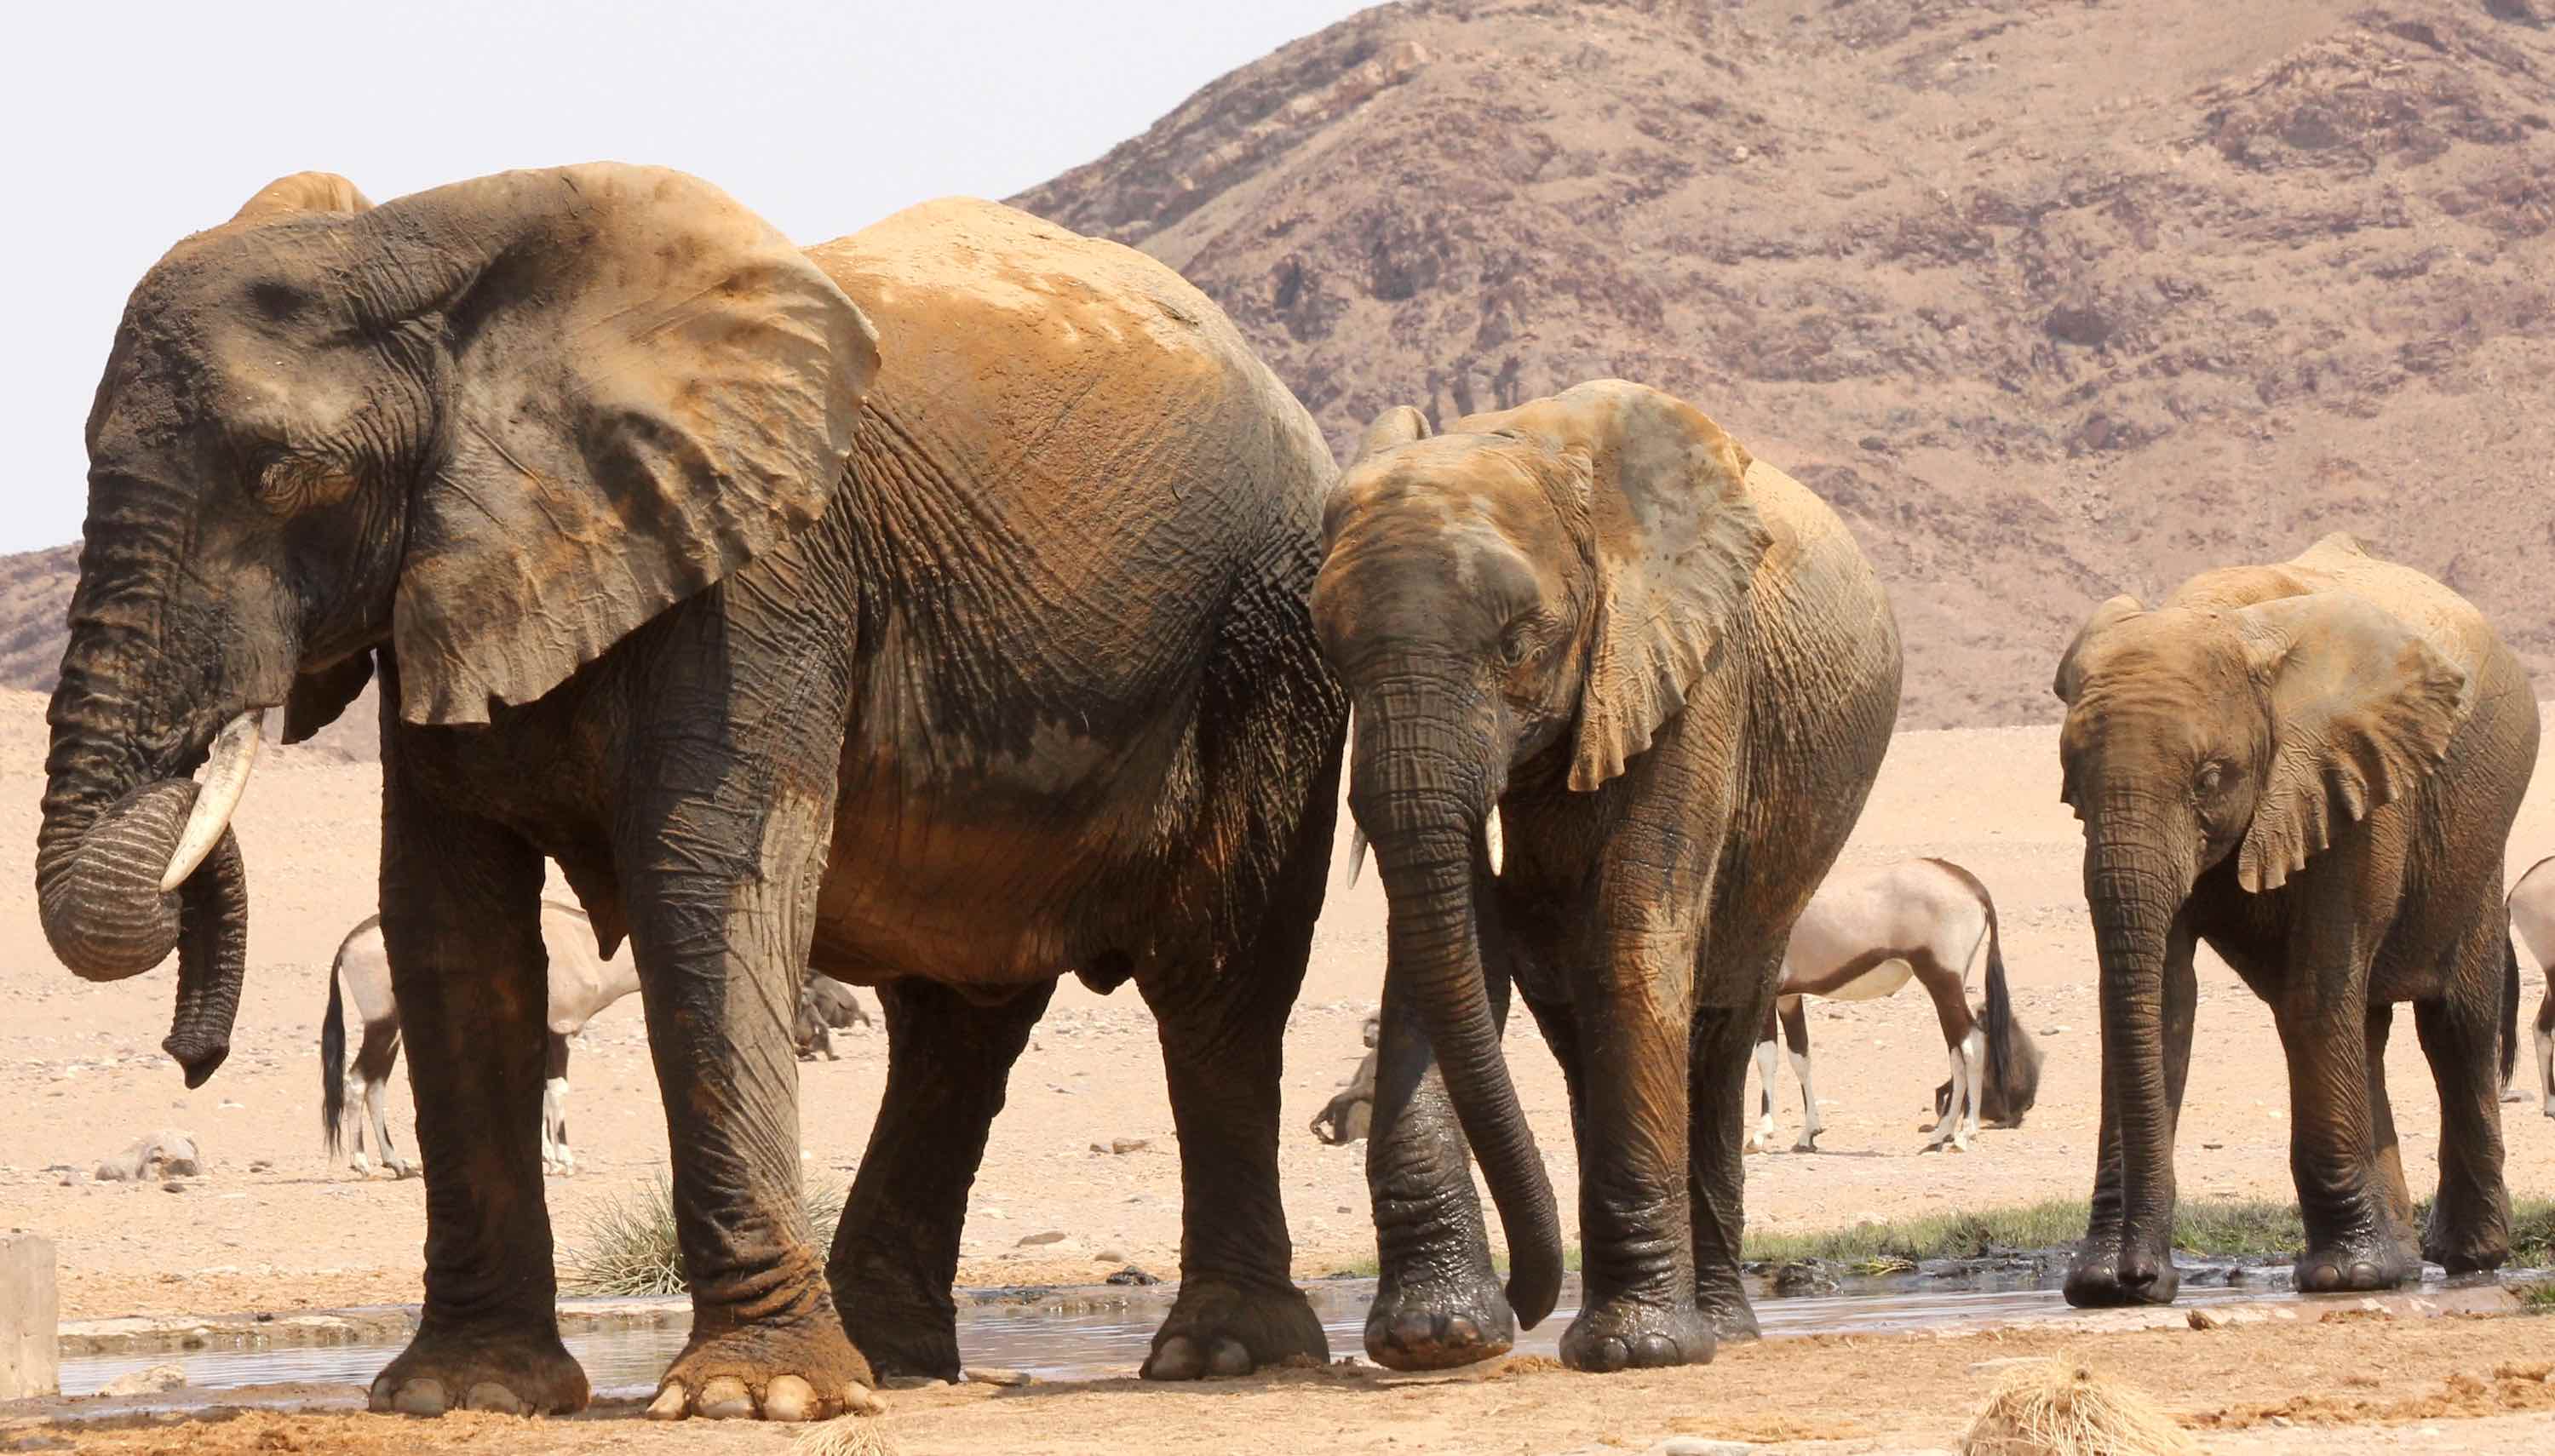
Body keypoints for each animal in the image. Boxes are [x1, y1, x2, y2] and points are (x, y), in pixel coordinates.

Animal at [39, 164, 1349, 1410]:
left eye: (286, 474)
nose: (191, 1059)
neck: (435, 247)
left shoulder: (762, 567)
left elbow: (702, 876)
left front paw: (753, 1396)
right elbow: (451, 923)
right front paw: (463, 1391)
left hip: (1264, 644)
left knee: (1216, 983)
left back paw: (1220, 1353)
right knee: (958, 1022)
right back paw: (893, 1360)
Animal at [1318, 381, 1901, 1369]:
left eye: (1518, 645)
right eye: (1333, 653)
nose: (1523, 1304)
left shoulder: (1693, 667)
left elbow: (1633, 930)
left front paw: (1640, 1352)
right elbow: (1449, 944)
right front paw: (1436, 1339)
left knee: (1719, 1031)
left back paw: (1720, 1329)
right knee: (1573, 1016)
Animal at [2054, 526, 2535, 1298]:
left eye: (2209, 780)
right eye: (2072, 788)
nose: (2138, 1278)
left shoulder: (2354, 779)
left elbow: (2316, 992)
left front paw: (2342, 1278)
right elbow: (2164, 997)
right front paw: (2099, 1289)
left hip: (2478, 836)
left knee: (2454, 1025)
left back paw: (2464, 1259)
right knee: (2364, 1025)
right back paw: (2400, 1267)